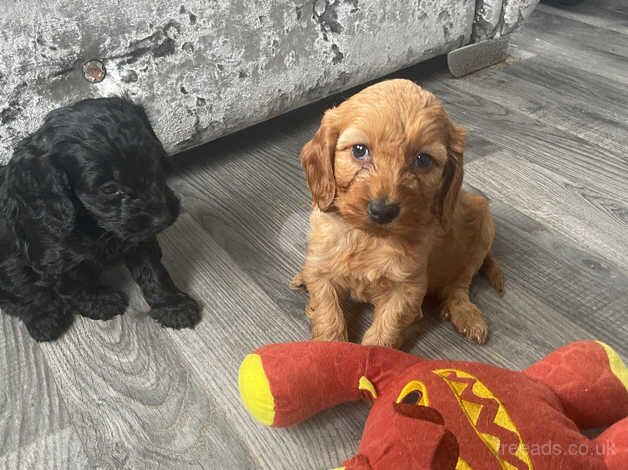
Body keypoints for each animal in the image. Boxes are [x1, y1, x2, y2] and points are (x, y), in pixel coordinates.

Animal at [0, 98, 200, 342]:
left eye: (155, 163)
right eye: (109, 189)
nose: (163, 218)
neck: (92, 223)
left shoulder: (135, 236)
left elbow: (153, 269)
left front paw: (172, 305)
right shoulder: (54, 259)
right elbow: (72, 284)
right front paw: (99, 302)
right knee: (20, 292)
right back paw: (44, 318)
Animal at [292, 79, 502, 346]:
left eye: (423, 159)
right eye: (359, 150)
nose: (382, 211)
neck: (367, 237)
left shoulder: (406, 289)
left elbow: (384, 331)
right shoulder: (322, 271)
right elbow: (327, 313)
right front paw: (330, 347)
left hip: (483, 225)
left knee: (459, 284)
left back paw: (467, 314)